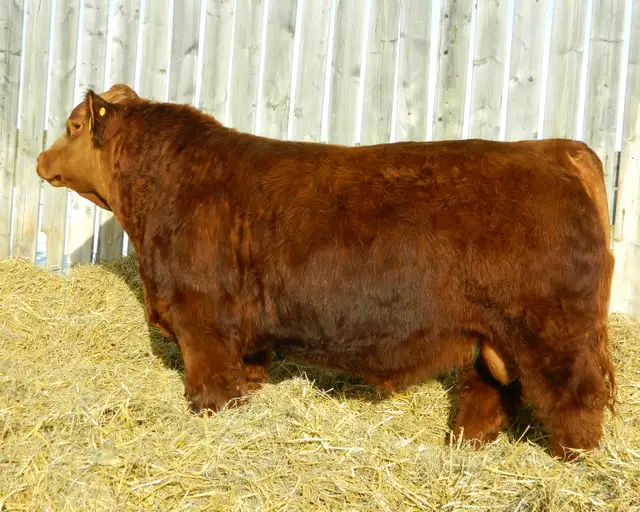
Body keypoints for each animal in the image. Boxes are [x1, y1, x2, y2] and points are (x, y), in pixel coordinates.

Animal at [36, 84, 616, 461]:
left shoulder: (201, 321)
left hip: (554, 333)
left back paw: (573, 461)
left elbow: (209, 387)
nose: (41, 160)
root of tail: (559, 151)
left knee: (578, 401)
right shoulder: (247, 337)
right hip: (493, 337)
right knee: (489, 394)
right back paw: (461, 447)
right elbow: (245, 381)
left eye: (73, 125)